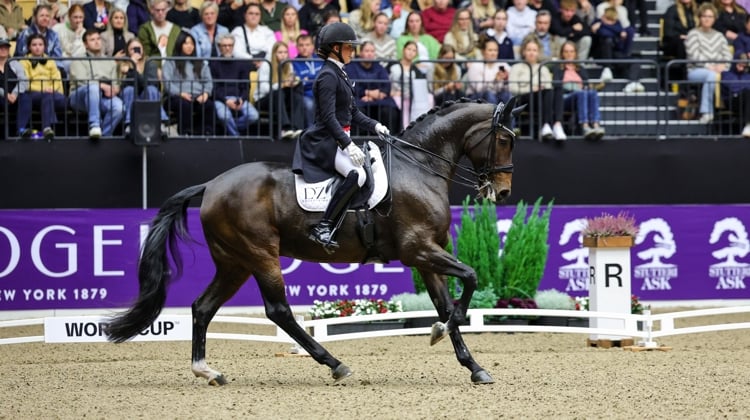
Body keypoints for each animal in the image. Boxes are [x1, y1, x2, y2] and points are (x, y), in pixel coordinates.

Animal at [106, 97, 524, 386]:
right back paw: (335, 365)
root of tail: (211, 185)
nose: (503, 192)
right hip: (260, 255)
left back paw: (207, 371)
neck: (418, 169)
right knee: (279, 312)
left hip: (234, 262)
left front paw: (473, 366)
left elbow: (446, 303)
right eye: (504, 139)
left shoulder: (427, 255)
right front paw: (441, 333)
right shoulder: (418, 250)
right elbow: (469, 279)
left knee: (202, 307)